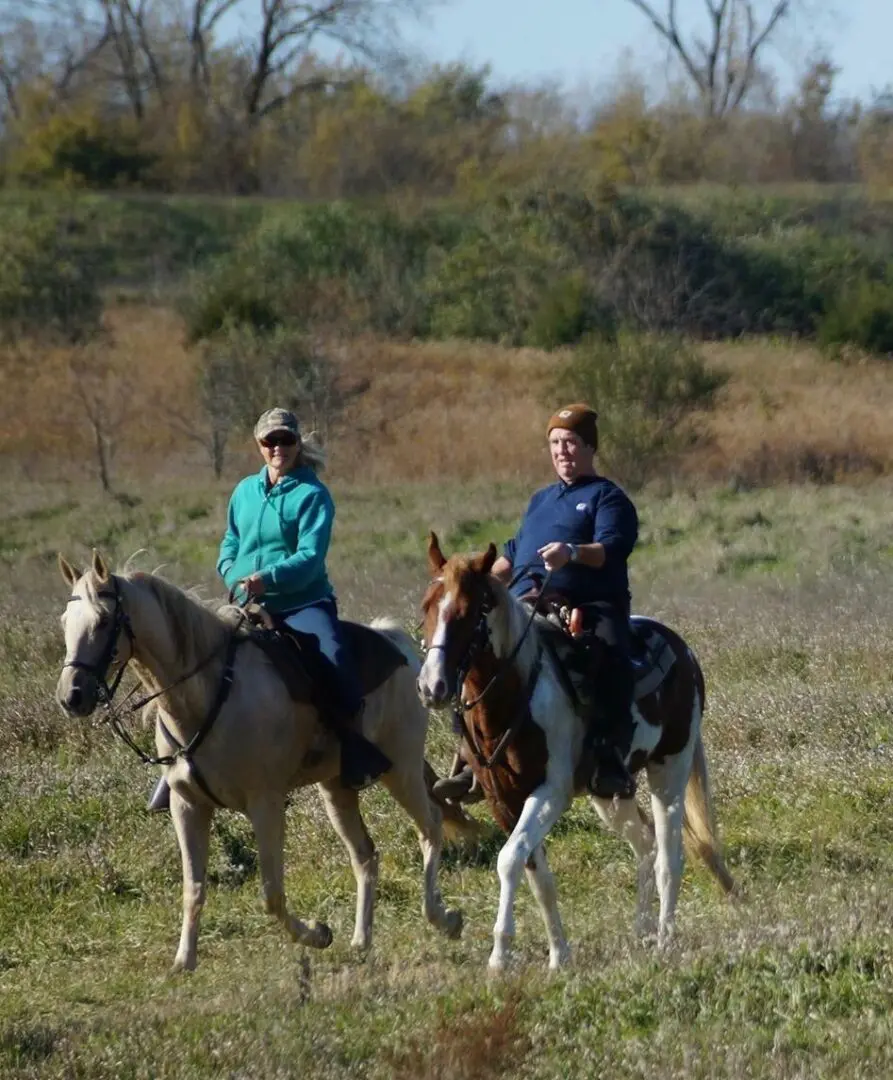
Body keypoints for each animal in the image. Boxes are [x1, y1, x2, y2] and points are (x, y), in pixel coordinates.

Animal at [55, 548, 470, 972]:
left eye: (104, 621)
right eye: (65, 622)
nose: (71, 696)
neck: (211, 693)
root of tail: (397, 644)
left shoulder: (265, 804)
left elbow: (271, 892)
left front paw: (318, 933)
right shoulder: (188, 806)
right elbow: (194, 887)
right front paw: (184, 960)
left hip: (401, 769)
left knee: (430, 827)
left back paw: (444, 918)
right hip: (336, 788)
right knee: (365, 856)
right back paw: (361, 941)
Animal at [418, 535, 734, 976]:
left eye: (468, 612)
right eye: (426, 607)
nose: (432, 686)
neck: (516, 692)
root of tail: (683, 651)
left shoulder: (549, 793)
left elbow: (509, 859)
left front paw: (500, 954)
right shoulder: (503, 801)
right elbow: (538, 875)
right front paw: (559, 954)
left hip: (669, 770)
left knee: (670, 857)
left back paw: (664, 940)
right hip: (611, 794)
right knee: (646, 844)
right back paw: (641, 929)